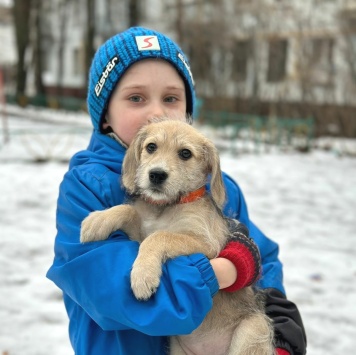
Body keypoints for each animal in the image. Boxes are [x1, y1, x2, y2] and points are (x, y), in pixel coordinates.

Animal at [81, 119, 276, 355]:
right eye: (151, 147)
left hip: (252, 331)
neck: (166, 206)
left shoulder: (206, 244)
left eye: (185, 153)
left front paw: (143, 276)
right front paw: (96, 221)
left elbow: (160, 236)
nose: (156, 174)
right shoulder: (139, 233)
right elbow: (129, 212)